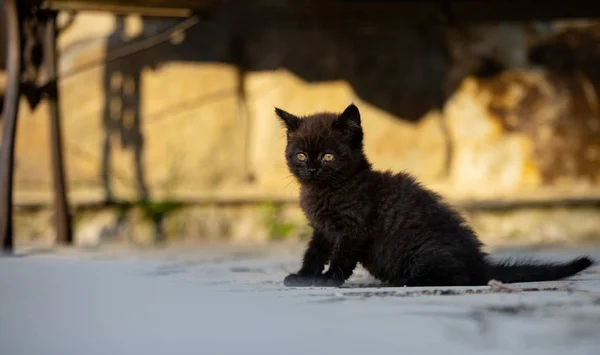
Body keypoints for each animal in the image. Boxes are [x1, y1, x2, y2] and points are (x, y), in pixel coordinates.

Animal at [276, 104, 596, 288]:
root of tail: (479, 263)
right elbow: (314, 252)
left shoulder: (353, 229)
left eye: (328, 156)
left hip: (424, 254)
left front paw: (327, 280)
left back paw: (403, 282)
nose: (312, 168)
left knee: (460, 278)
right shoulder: (322, 229)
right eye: (301, 155)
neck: (323, 191)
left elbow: (342, 256)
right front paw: (304, 277)